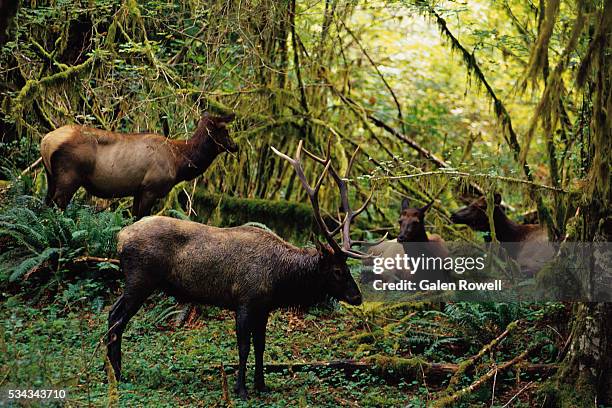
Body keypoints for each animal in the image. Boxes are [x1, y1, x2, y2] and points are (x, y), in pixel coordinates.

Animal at [40, 112, 237, 217]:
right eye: (225, 130)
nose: (235, 145)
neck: (179, 162)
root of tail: (45, 141)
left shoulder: (138, 190)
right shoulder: (151, 188)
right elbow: (140, 218)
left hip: (51, 177)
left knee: (46, 204)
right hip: (69, 176)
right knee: (57, 206)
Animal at [110, 139, 378, 398]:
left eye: (347, 268)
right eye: (337, 271)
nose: (357, 296)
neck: (280, 279)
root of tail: (121, 238)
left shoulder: (264, 307)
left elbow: (261, 345)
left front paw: (261, 385)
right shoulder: (245, 301)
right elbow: (243, 347)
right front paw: (241, 389)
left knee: (114, 314)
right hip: (140, 279)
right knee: (116, 318)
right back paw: (118, 374)